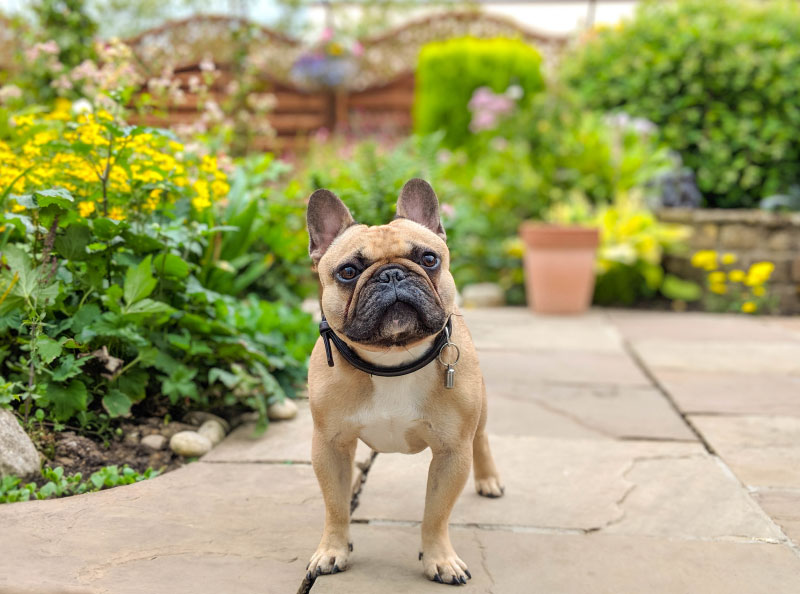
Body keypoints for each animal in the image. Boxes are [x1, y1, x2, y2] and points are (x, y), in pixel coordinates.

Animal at [304, 177, 504, 584]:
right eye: (348, 271)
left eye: (429, 259)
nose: (393, 273)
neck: (393, 360)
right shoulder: (329, 446)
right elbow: (336, 506)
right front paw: (332, 550)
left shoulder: (452, 452)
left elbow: (436, 513)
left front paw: (439, 559)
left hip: (479, 411)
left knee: (482, 438)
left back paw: (488, 479)